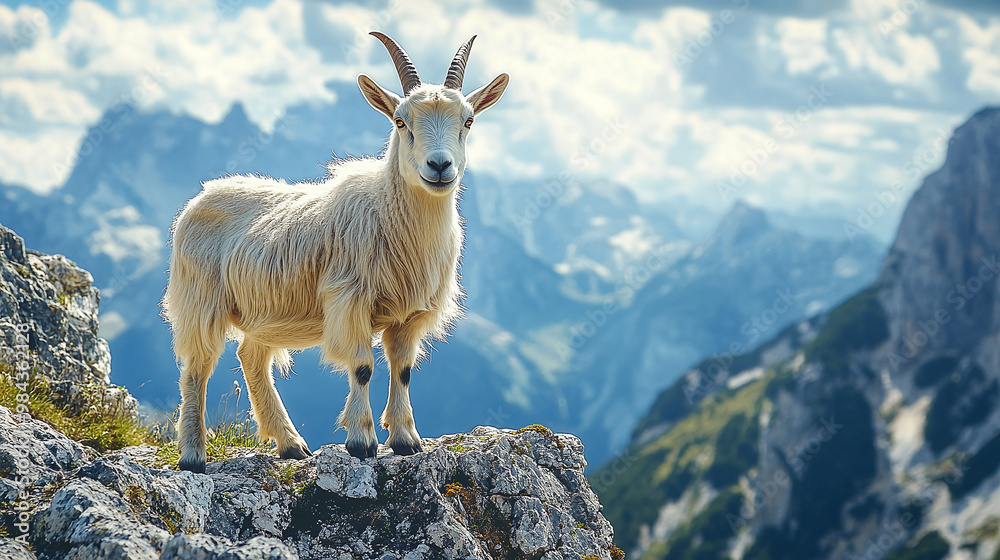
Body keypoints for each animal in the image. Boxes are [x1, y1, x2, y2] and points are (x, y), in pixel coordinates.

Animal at [161, 32, 509, 472]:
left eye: (468, 120)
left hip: (264, 313)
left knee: (251, 358)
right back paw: (193, 456)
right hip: (200, 300)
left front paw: (406, 440)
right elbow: (362, 367)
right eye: (400, 121)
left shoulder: (409, 314)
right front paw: (362, 442)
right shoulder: (350, 298)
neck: (389, 211)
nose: (440, 166)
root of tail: (199, 197)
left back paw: (291, 444)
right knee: (197, 367)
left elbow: (403, 370)